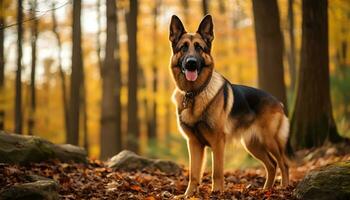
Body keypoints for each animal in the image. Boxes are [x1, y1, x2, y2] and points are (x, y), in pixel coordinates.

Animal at [170, 14, 290, 197]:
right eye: (183, 48)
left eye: (199, 48)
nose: (191, 63)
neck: (195, 93)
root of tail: (278, 101)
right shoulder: (194, 144)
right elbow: (194, 174)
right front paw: (188, 195)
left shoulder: (218, 142)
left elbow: (217, 172)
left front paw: (217, 193)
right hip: (253, 145)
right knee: (271, 164)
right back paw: (266, 190)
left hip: (270, 140)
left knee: (283, 163)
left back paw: (283, 188)